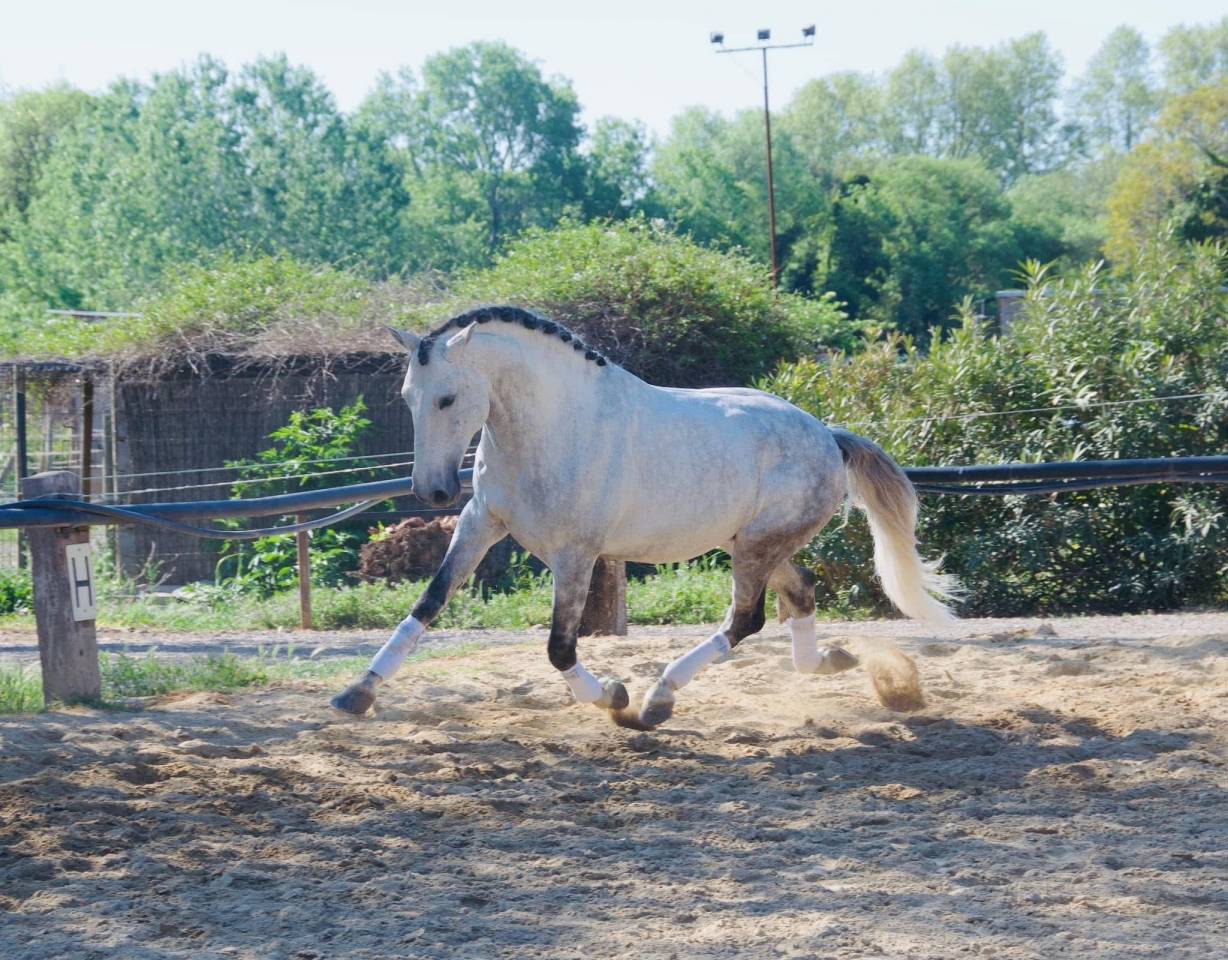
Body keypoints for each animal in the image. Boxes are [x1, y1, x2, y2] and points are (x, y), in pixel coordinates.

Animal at [331, 305, 958, 728]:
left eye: (448, 398)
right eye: (409, 397)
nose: (433, 491)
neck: (552, 427)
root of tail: (828, 437)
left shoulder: (575, 554)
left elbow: (560, 647)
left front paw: (614, 698)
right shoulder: (481, 523)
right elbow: (428, 603)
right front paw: (357, 692)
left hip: (757, 546)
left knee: (746, 620)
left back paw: (659, 697)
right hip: (749, 544)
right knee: (799, 591)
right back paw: (829, 660)